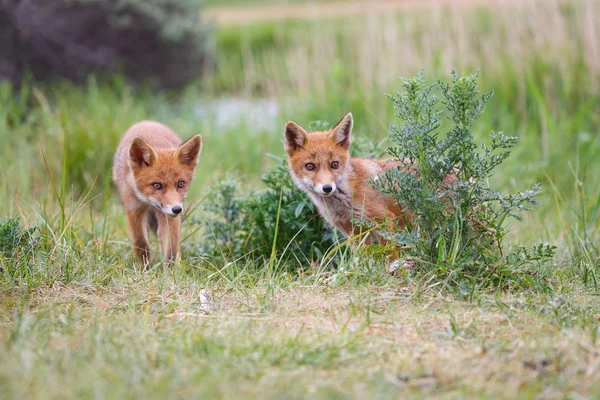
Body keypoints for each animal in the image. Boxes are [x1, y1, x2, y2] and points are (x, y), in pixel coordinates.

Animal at [113, 120, 203, 268]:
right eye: (157, 185)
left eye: (180, 184)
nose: (177, 209)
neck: (148, 201)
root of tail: (147, 122)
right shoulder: (134, 209)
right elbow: (141, 244)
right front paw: (144, 269)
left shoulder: (169, 216)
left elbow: (171, 250)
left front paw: (171, 271)